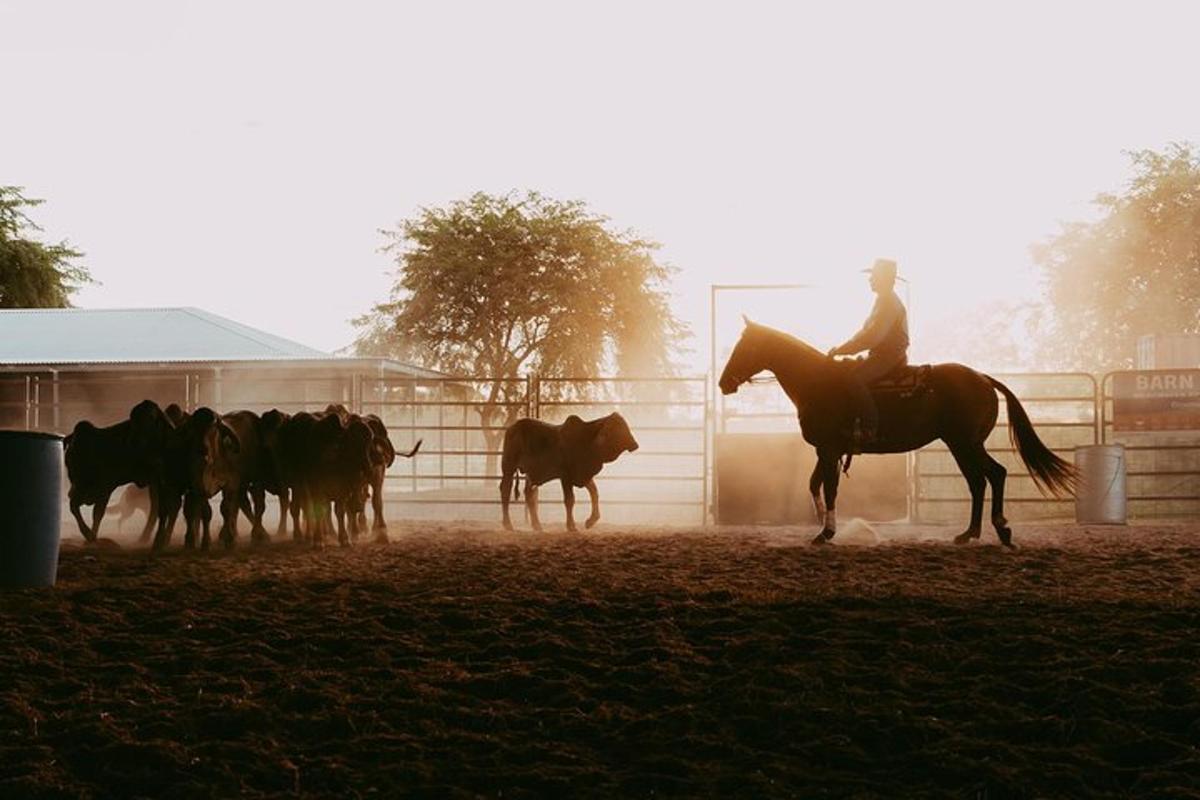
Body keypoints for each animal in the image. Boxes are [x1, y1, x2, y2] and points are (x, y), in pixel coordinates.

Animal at [710, 316, 1080, 546]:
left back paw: (1000, 529)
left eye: (745, 347)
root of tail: (982, 378)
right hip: (960, 444)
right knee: (978, 480)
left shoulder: (828, 449)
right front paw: (824, 526)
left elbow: (829, 489)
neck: (818, 382)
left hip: (966, 442)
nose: (723, 383)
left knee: (994, 474)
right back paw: (969, 533)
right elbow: (815, 486)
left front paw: (826, 533)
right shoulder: (825, 450)